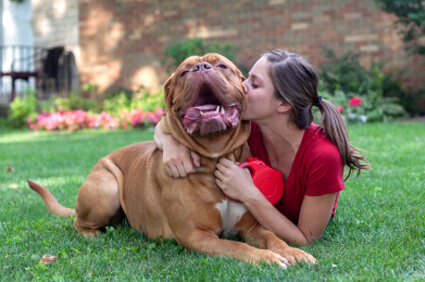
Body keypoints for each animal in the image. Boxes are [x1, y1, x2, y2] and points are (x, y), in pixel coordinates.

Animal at [28, 53, 314, 268]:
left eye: (222, 66)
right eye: (184, 73)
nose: (201, 67)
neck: (215, 157)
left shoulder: (253, 226)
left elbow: (273, 237)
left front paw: (294, 252)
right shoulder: (197, 236)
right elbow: (237, 247)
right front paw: (266, 258)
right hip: (106, 187)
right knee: (78, 223)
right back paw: (93, 234)